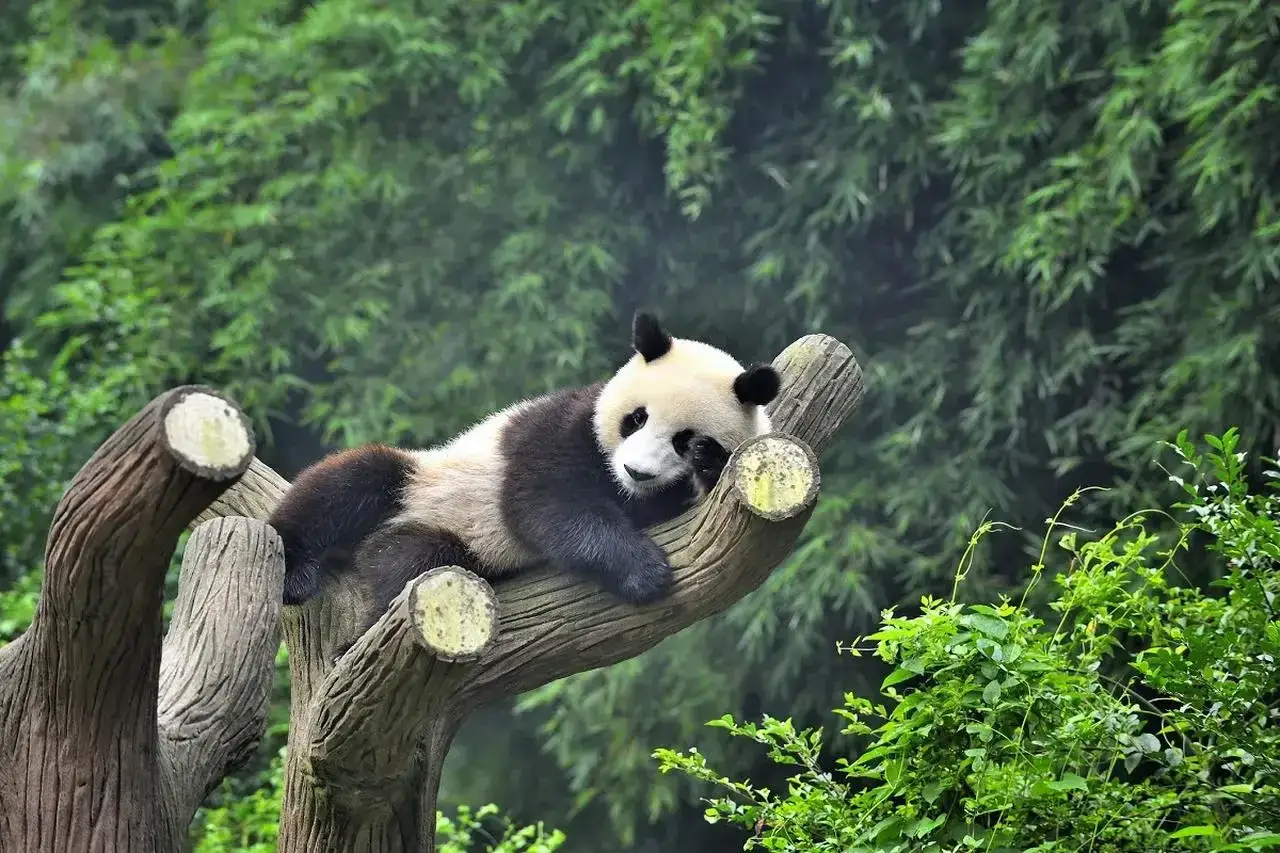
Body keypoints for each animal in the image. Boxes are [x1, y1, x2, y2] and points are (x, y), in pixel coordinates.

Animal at [268, 310, 781, 654]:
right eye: (636, 418)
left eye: (683, 439)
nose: (637, 471)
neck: (618, 483)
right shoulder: (558, 429)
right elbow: (547, 505)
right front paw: (645, 571)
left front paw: (708, 466)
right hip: (424, 484)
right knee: (349, 486)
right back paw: (305, 579)